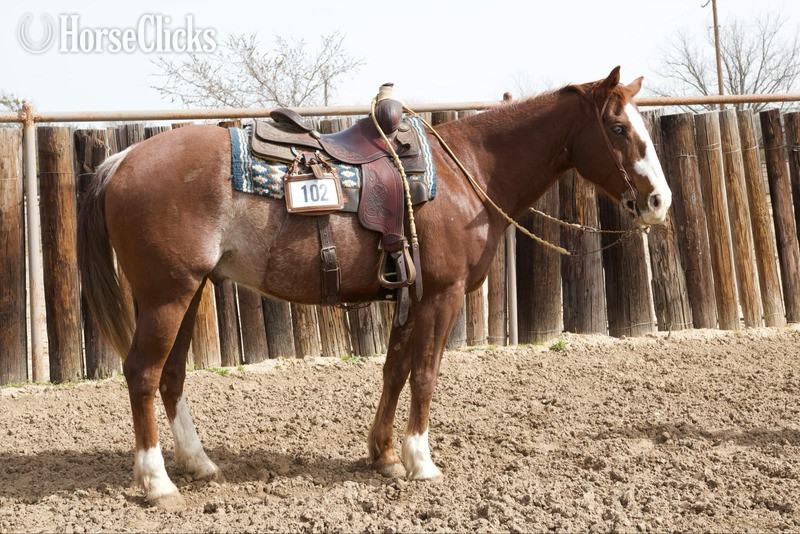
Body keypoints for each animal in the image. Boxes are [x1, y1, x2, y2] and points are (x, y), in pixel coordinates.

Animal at [77, 66, 671, 508]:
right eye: (619, 129)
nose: (660, 201)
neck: (467, 174)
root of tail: (122, 159)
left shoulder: (410, 295)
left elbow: (395, 371)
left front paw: (383, 455)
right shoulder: (441, 296)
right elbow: (425, 374)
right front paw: (421, 461)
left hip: (189, 291)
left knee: (171, 375)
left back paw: (200, 464)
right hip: (167, 295)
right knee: (143, 373)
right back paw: (157, 482)